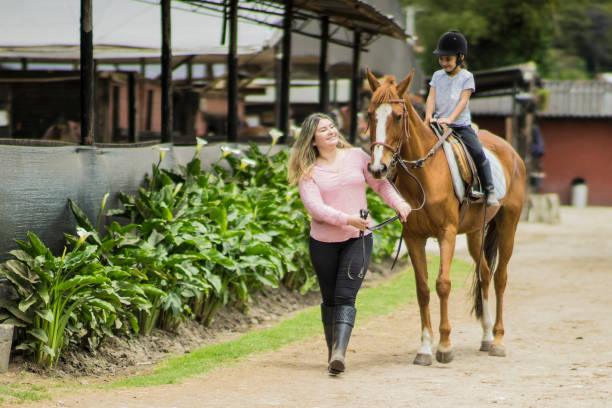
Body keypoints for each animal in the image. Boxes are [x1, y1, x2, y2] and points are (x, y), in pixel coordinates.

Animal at [364, 68, 524, 364]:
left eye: (398, 116)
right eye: (370, 114)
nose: (377, 168)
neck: (425, 175)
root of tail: (510, 150)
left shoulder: (446, 233)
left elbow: (443, 284)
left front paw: (445, 345)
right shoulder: (414, 237)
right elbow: (423, 288)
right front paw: (425, 348)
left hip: (509, 224)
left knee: (500, 277)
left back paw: (497, 340)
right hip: (475, 232)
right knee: (485, 274)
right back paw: (486, 337)